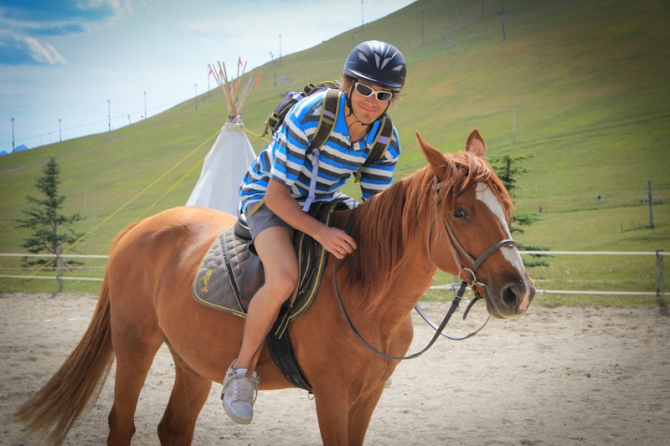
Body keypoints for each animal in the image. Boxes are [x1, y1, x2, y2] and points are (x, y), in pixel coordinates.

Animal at [14, 132, 536, 446]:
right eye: (460, 213)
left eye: (507, 206)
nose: (518, 291)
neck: (367, 293)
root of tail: (138, 228)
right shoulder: (331, 396)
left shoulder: (368, 396)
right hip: (134, 344)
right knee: (121, 423)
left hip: (192, 361)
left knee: (173, 428)